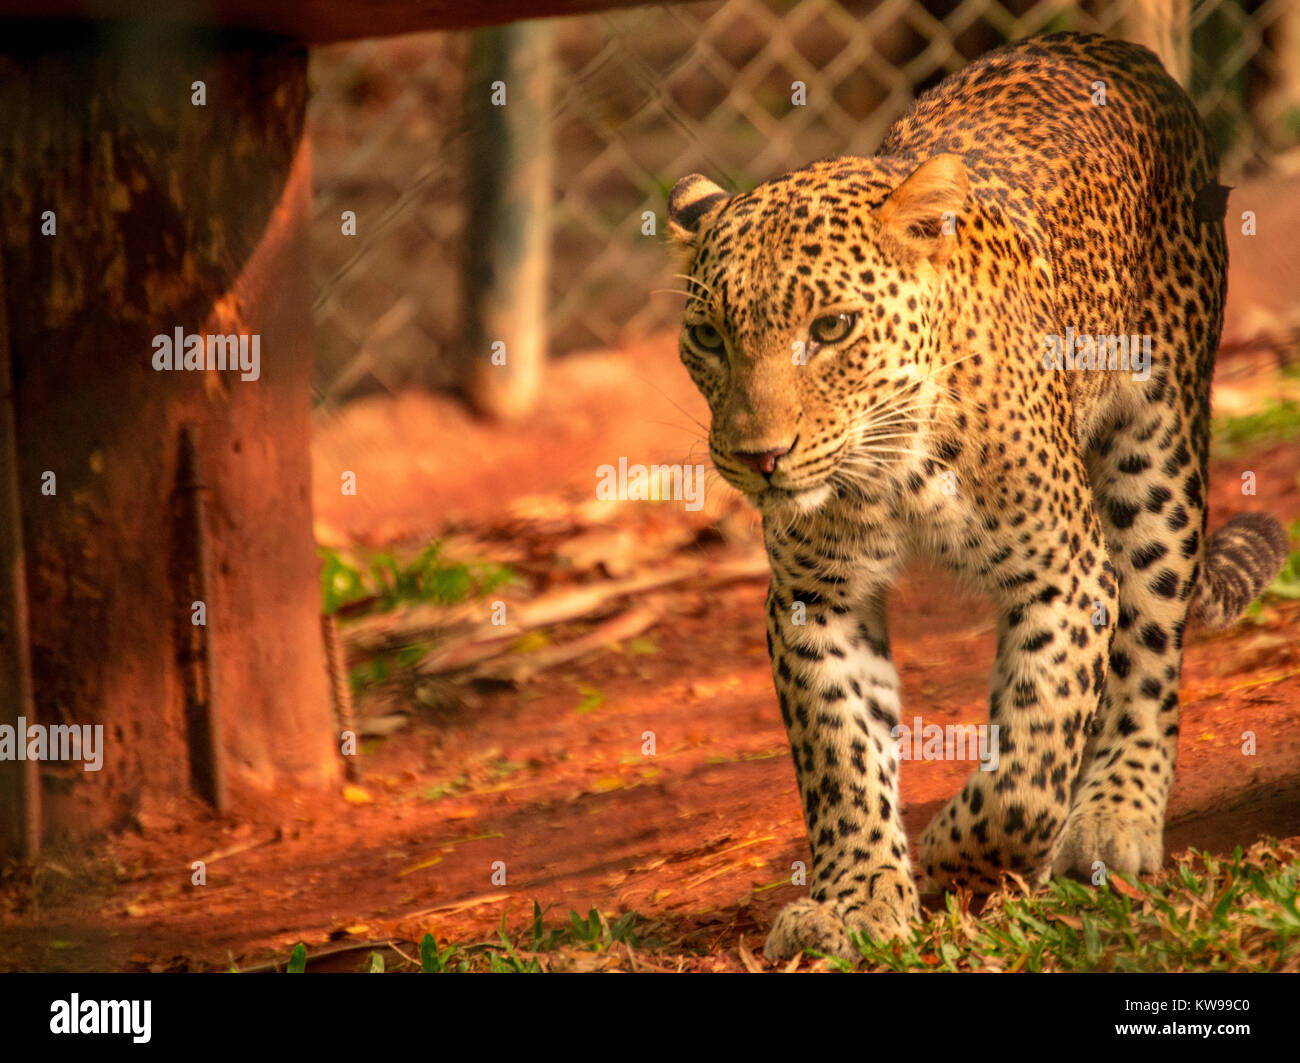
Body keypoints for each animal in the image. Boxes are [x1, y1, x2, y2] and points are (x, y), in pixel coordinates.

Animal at [665, 31, 1294, 961]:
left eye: (831, 328)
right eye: (708, 337)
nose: (760, 458)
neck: (892, 465)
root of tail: (1110, 46)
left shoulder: (1066, 574)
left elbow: (1031, 763)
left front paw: (951, 857)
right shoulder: (817, 597)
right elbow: (843, 757)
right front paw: (859, 896)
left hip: (1158, 451)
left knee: (1148, 650)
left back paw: (1113, 815)